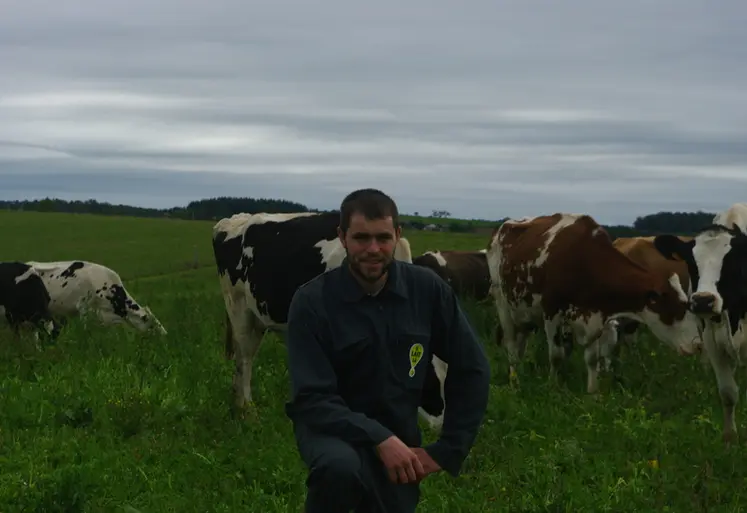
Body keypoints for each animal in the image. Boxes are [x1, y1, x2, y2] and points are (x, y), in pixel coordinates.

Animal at [210, 211, 450, 428]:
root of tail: (234, 219)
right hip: (238, 307)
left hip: (257, 317)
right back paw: (248, 410)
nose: (441, 424)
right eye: (430, 380)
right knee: (244, 358)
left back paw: (238, 404)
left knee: (245, 354)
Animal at [488, 212, 704, 392]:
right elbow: (556, 355)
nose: (698, 345)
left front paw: (593, 393)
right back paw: (514, 380)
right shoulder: (551, 312)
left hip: (523, 311)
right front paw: (553, 386)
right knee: (511, 345)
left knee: (520, 342)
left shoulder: (595, 314)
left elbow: (592, 358)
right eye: (675, 309)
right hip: (503, 304)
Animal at [656, 202, 747, 442]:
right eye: (691, 263)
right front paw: (729, 440)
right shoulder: (712, 341)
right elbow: (728, 392)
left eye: (733, 262)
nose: (704, 300)